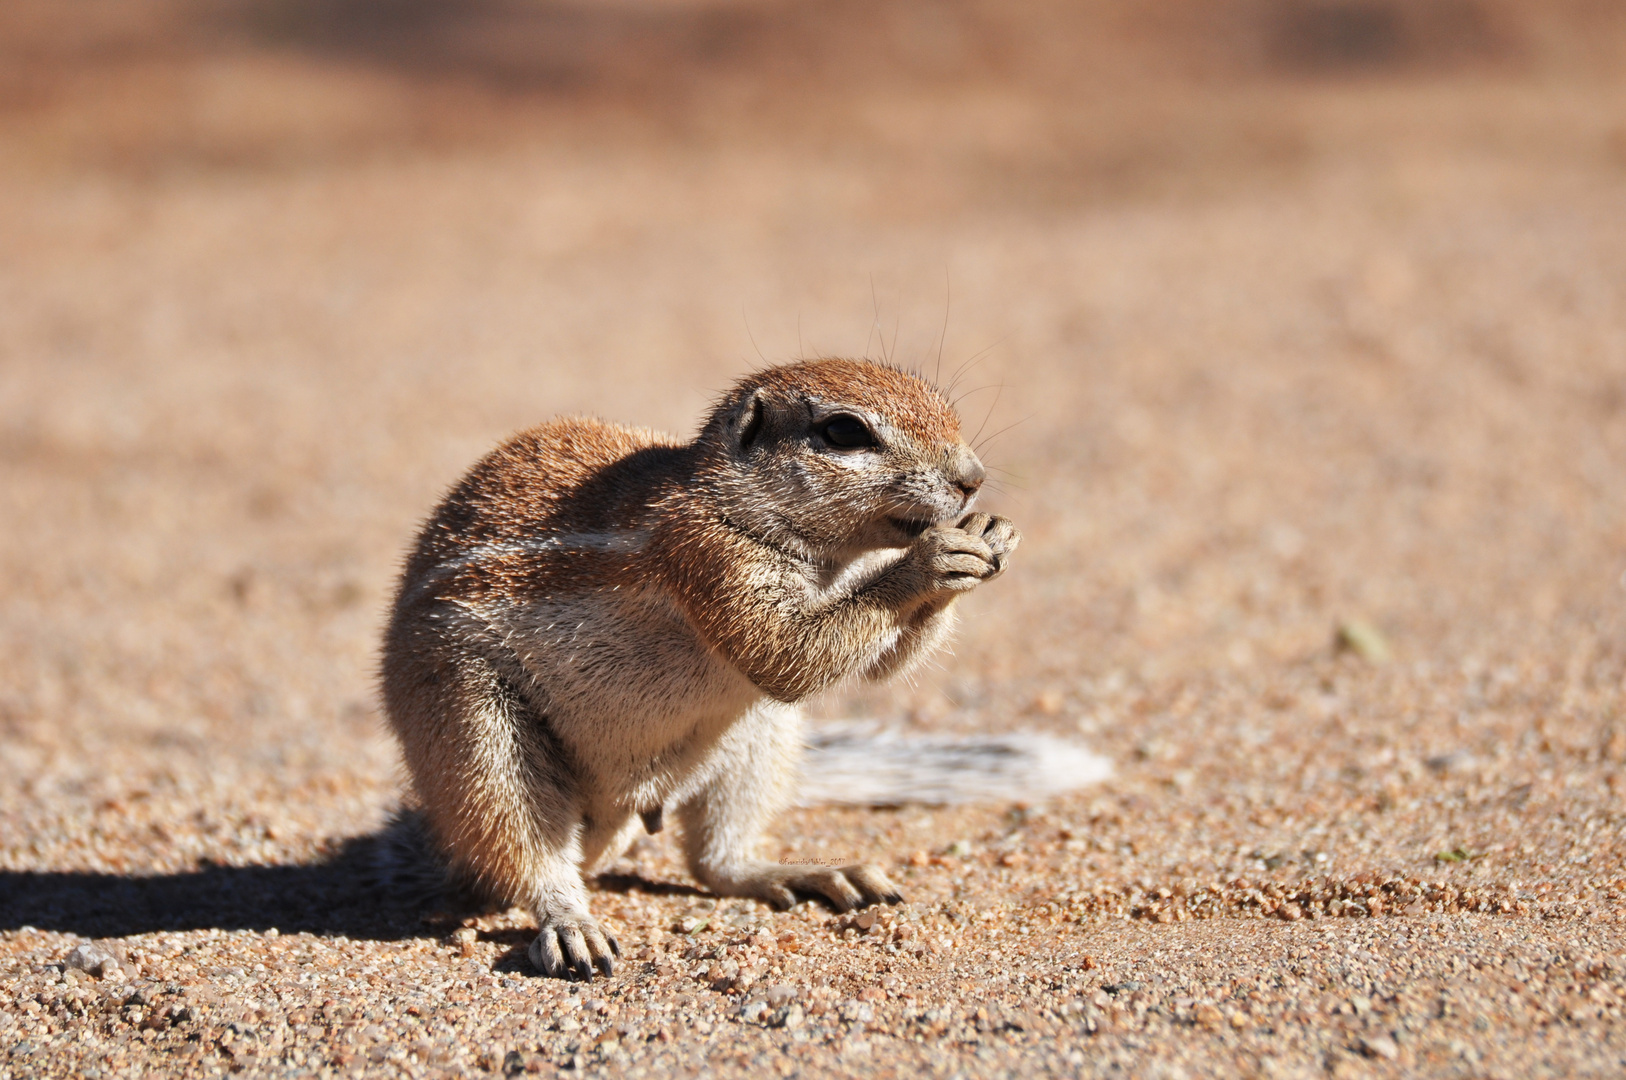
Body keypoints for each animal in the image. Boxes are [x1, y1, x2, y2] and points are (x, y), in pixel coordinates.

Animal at [380, 361, 1014, 975]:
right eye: (844, 432)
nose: (973, 478)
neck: (730, 502)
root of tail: (618, 814)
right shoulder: (708, 556)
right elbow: (788, 654)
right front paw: (933, 560)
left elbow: (877, 667)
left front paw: (990, 536)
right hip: (476, 734)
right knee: (527, 853)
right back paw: (570, 924)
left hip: (759, 740)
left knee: (716, 862)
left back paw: (808, 871)